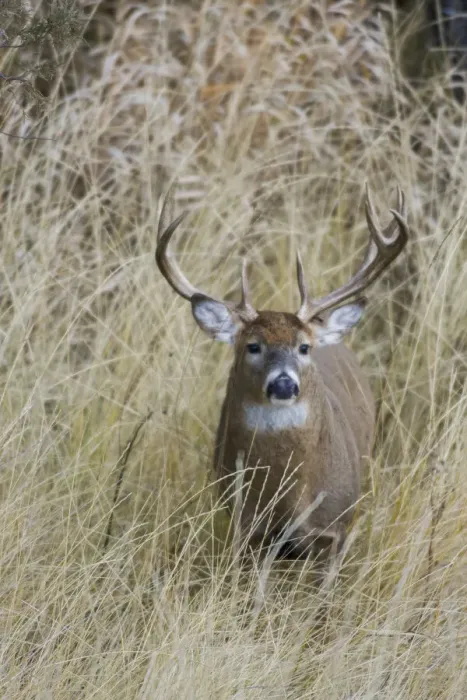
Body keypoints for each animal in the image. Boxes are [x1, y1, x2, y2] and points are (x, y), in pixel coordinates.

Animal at [155, 186, 408, 558]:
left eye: (304, 347)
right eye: (252, 346)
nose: (284, 384)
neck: (290, 499)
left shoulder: (335, 529)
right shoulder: (249, 530)